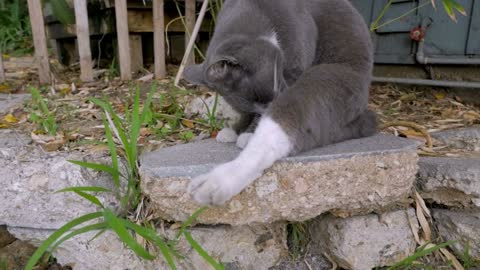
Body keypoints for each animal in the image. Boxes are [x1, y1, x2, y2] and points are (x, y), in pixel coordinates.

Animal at [182, 0, 376, 205]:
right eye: (254, 101)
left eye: (265, 96)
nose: (267, 107)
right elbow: (245, 113)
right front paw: (235, 130)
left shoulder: (295, 67)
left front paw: (248, 133)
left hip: (326, 80)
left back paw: (215, 184)